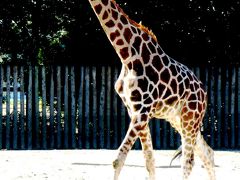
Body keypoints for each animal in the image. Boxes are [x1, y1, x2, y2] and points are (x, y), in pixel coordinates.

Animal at [86, 0, 216, 179]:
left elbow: (118, 159)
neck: (127, 54)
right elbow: (149, 161)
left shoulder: (142, 110)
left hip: (190, 118)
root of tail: (204, 93)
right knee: (207, 153)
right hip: (179, 119)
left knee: (188, 162)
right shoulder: (134, 110)